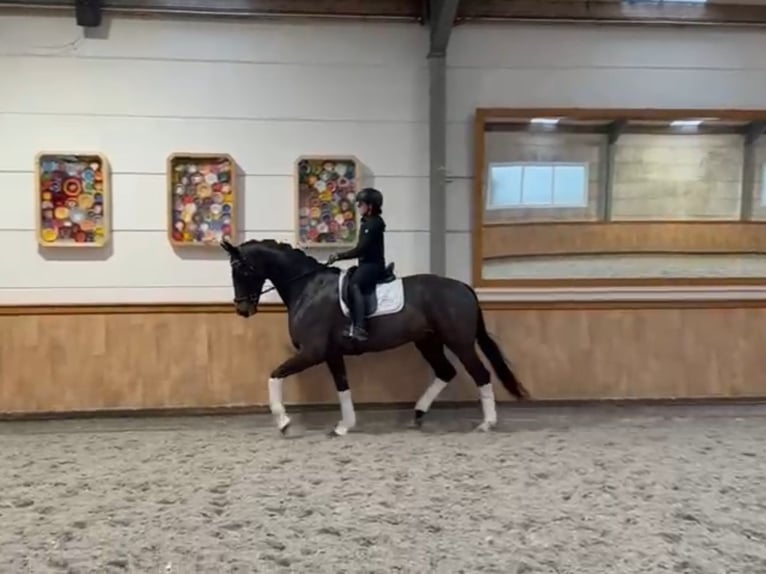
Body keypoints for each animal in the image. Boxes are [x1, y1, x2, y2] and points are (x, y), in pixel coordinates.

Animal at [221, 238, 529, 436]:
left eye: (242, 269)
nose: (242, 309)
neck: (308, 287)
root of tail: (464, 287)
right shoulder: (331, 353)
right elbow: (342, 386)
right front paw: (344, 426)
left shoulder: (312, 352)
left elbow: (274, 375)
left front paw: (283, 421)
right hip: (427, 341)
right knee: (446, 371)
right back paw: (418, 413)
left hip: (460, 342)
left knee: (481, 374)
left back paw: (487, 424)